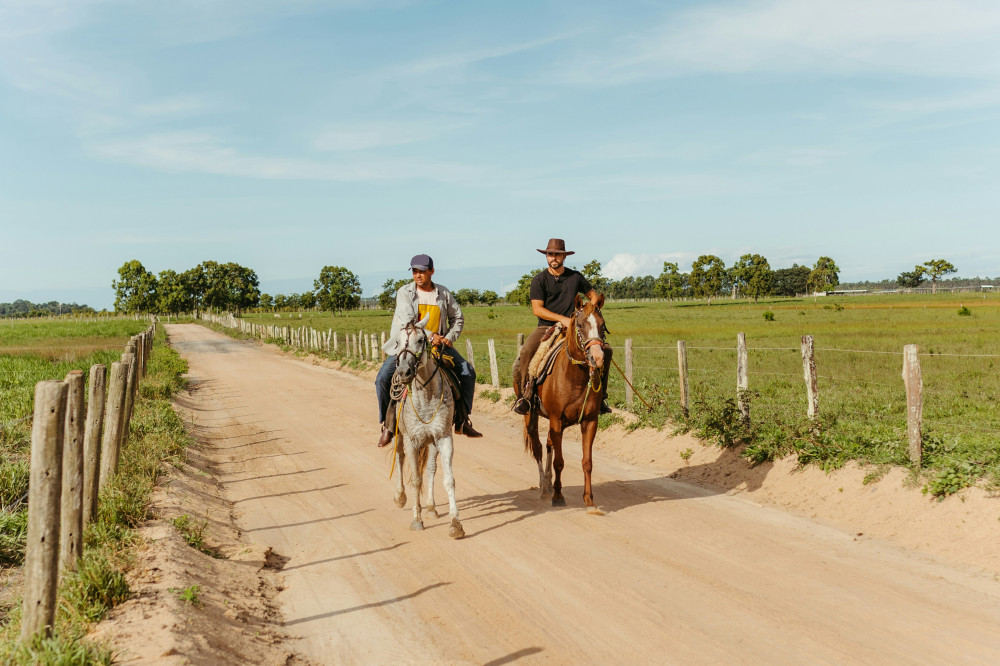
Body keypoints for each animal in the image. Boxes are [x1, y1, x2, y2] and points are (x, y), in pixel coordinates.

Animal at [389, 317, 465, 538]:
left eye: (422, 340)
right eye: (397, 342)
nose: (403, 372)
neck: (426, 394)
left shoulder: (443, 437)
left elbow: (448, 479)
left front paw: (455, 524)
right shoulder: (411, 440)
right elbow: (415, 479)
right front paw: (416, 519)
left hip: (431, 441)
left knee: (431, 469)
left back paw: (431, 508)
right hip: (399, 436)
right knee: (400, 460)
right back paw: (400, 497)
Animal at [520, 294, 610, 509]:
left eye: (602, 325)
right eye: (580, 324)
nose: (597, 358)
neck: (575, 377)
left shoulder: (590, 421)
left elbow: (587, 462)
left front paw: (589, 499)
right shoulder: (556, 420)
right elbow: (559, 462)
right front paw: (558, 497)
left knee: (549, 444)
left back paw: (548, 483)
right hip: (531, 416)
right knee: (538, 447)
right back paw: (544, 488)